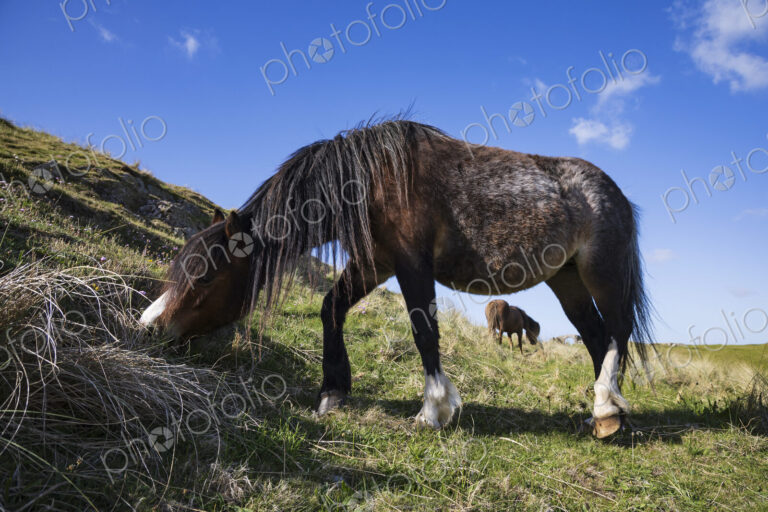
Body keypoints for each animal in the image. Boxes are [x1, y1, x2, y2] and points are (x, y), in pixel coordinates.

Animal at [139, 118, 653, 438]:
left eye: (206, 278)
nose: (152, 326)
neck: (371, 180)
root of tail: (616, 193)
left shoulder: (410, 264)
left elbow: (424, 331)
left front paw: (434, 409)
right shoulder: (376, 263)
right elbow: (331, 307)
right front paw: (332, 393)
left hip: (602, 271)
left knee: (617, 332)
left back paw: (607, 407)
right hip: (565, 279)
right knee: (594, 336)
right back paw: (604, 418)